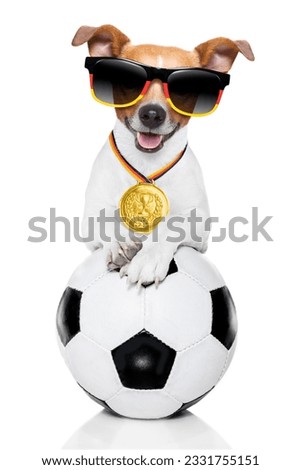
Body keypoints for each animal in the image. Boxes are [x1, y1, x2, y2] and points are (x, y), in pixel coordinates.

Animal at [72, 25, 253, 286]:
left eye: (184, 89)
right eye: (128, 81)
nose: (152, 114)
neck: (146, 165)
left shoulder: (199, 229)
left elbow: (171, 225)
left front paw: (148, 258)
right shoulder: (89, 218)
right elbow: (103, 220)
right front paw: (120, 243)